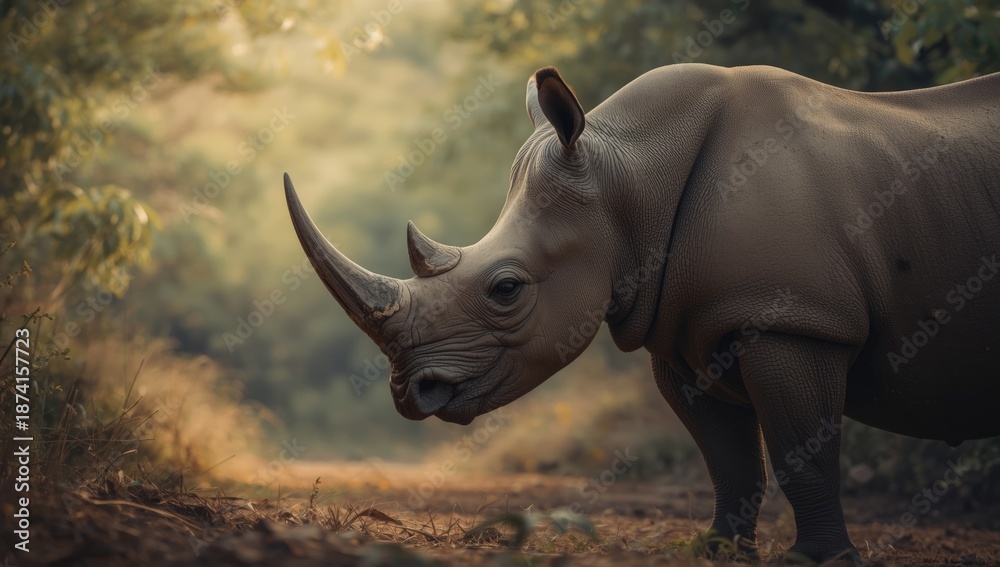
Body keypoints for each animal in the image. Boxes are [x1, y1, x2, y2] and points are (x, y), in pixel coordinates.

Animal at [284, 64, 1000, 562]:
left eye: (506, 289)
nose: (412, 393)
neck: (626, 174)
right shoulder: (690, 331)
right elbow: (729, 457)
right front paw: (717, 552)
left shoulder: (795, 319)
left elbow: (804, 452)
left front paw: (817, 560)